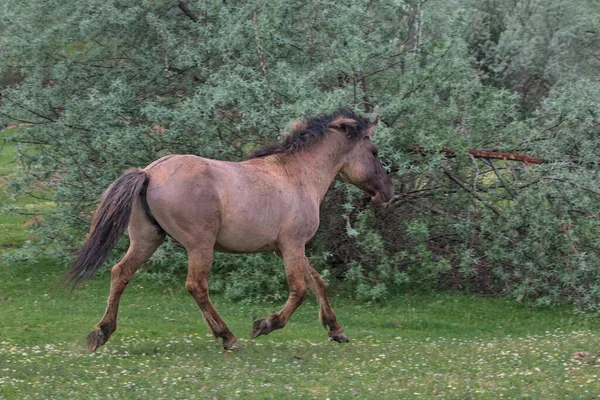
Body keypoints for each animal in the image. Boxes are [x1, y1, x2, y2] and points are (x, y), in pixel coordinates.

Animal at [67, 109, 394, 350]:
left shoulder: (287, 248)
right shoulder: (292, 245)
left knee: (120, 273)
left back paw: (101, 332)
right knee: (196, 286)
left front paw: (336, 330)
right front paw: (264, 324)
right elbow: (300, 290)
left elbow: (318, 283)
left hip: (147, 239)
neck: (296, 176)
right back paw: (228, 337)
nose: (388, 192)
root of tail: (148, 172)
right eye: (374, 152)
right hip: (199, 245)